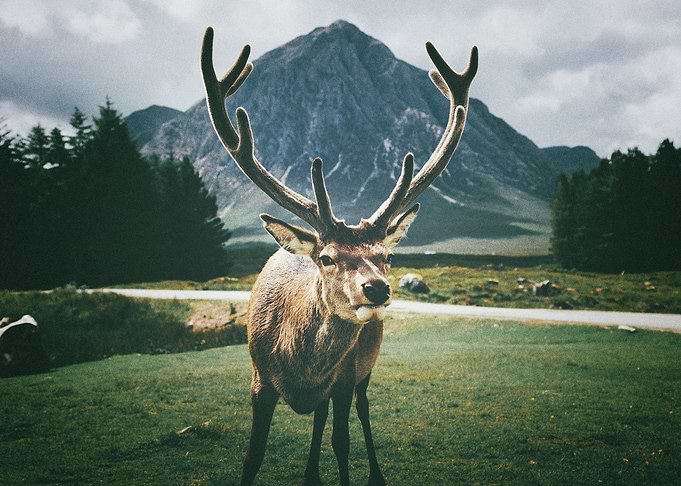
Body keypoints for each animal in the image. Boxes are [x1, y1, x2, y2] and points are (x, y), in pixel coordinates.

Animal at [201, 26, 477, 486]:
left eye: (387, 256)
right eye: (327, 258)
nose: (377, 288)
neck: (300, 368)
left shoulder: (344, 378)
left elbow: (342, 443)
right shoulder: (258, 380)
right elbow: (252, 457)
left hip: (365, 366)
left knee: (356, 413)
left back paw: (371, 473)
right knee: (318, 422)